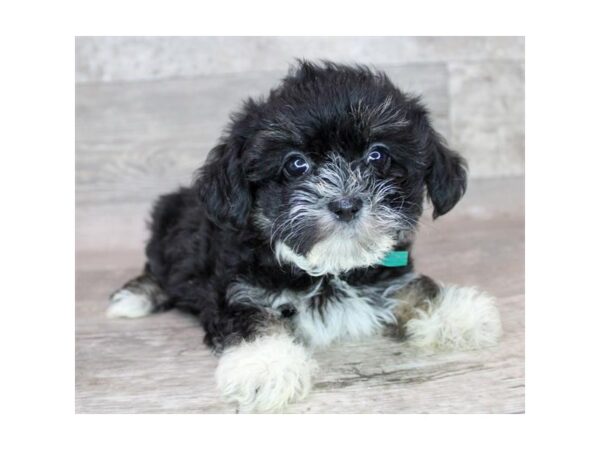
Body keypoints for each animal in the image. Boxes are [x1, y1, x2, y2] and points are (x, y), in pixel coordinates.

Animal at [106, 61, 502, 414]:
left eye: (377, 155)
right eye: (296, 164)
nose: (345, 204)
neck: (329, 269)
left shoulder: (388, 270)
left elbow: (413, 286)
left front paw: (454, 311)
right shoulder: (237, 290)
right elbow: (254, 322)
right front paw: (264, 365)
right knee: (158, 271)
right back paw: (134, 297)